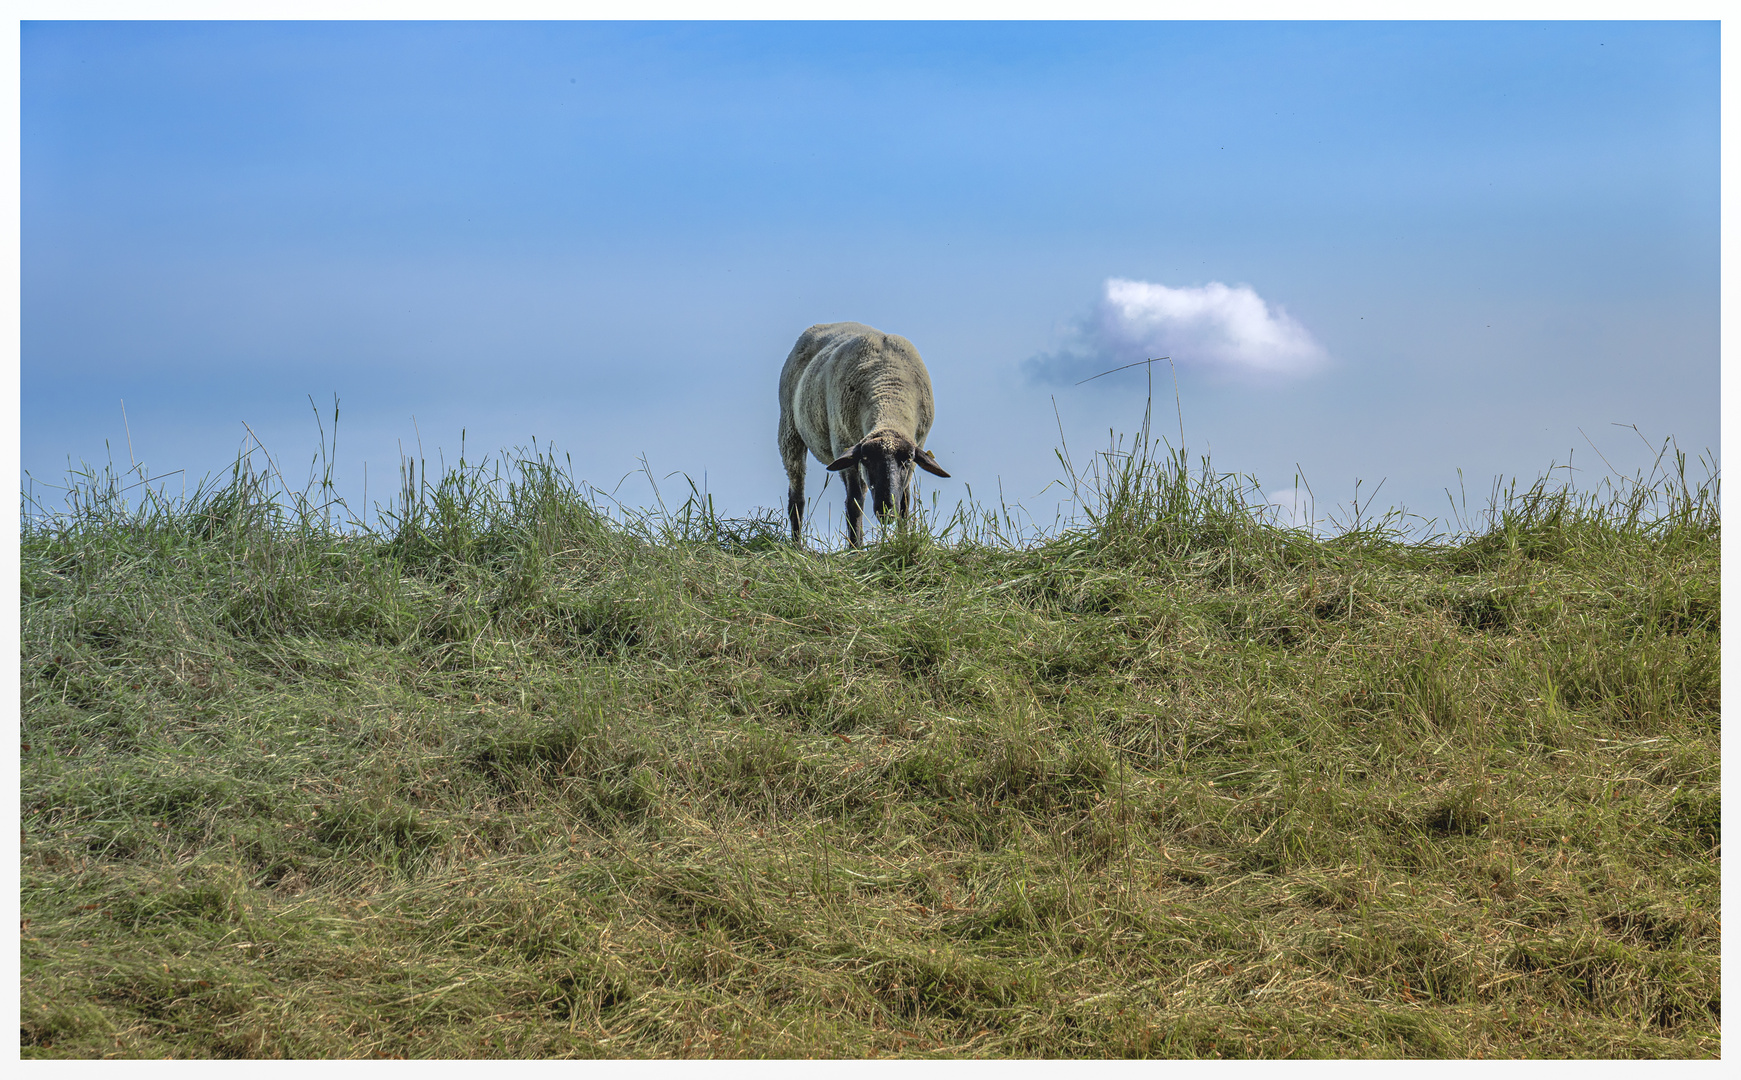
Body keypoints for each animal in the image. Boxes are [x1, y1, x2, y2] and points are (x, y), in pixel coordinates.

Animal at [779, 317, 954, 543]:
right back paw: (797, 545)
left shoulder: (917, 446)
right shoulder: (844, 446)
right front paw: (855, 547)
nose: (885, 510)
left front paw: (903, 540)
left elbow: (905, 503)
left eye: (906, 460)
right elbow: (854, 504)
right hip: (789, 430)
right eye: (866, 459)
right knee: (797, 497)